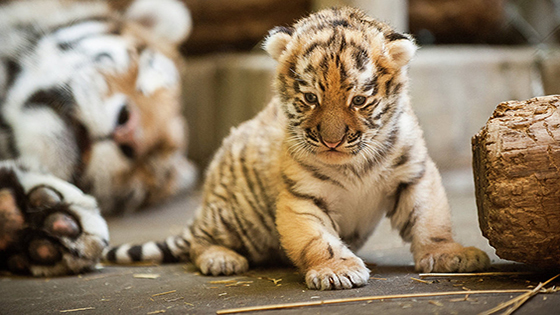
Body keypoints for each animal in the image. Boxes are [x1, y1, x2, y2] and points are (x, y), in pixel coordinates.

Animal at [103, 6, 488, 290]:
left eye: (359, 100)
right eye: (310, 98)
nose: (332, 140)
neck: (353, 162)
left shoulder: (415, 175)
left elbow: (430, 218)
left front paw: (452, 255)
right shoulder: (302, 196)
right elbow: (317, 238)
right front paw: (337, 270)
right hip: (235, 217)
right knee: (200, 240)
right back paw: (221, 259)